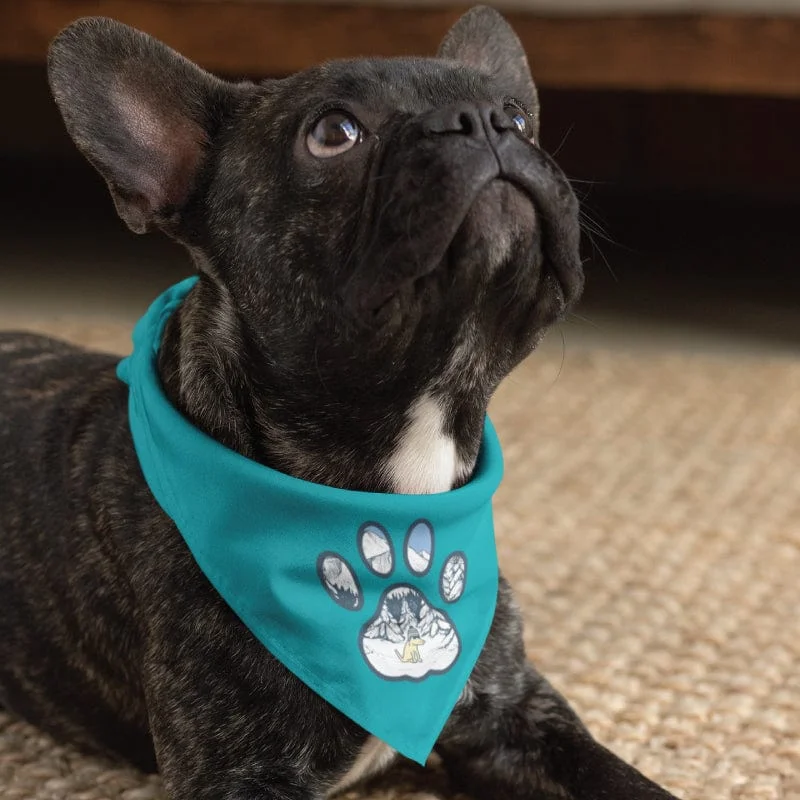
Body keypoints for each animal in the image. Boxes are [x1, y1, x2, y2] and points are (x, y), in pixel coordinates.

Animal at [0, 7, 680, 800]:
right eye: (333, 133)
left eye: (517, 116)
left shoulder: (517, 717)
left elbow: (626, 781)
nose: (483, 121)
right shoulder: (241, 775)